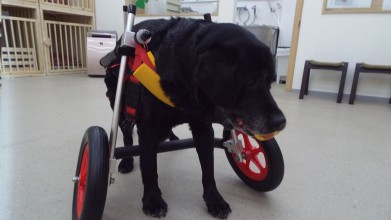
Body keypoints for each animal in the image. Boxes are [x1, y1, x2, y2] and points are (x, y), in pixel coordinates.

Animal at [107, 18, 284, 219]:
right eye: (253, 82)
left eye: (270, 82)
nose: (281, 122)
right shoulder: (148, 131)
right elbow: (150, 170)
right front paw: (152, 200)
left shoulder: (203, 129)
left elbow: (208, 170)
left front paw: (215, 200)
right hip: (120, 108)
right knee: (127, 135)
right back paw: (127, 161)